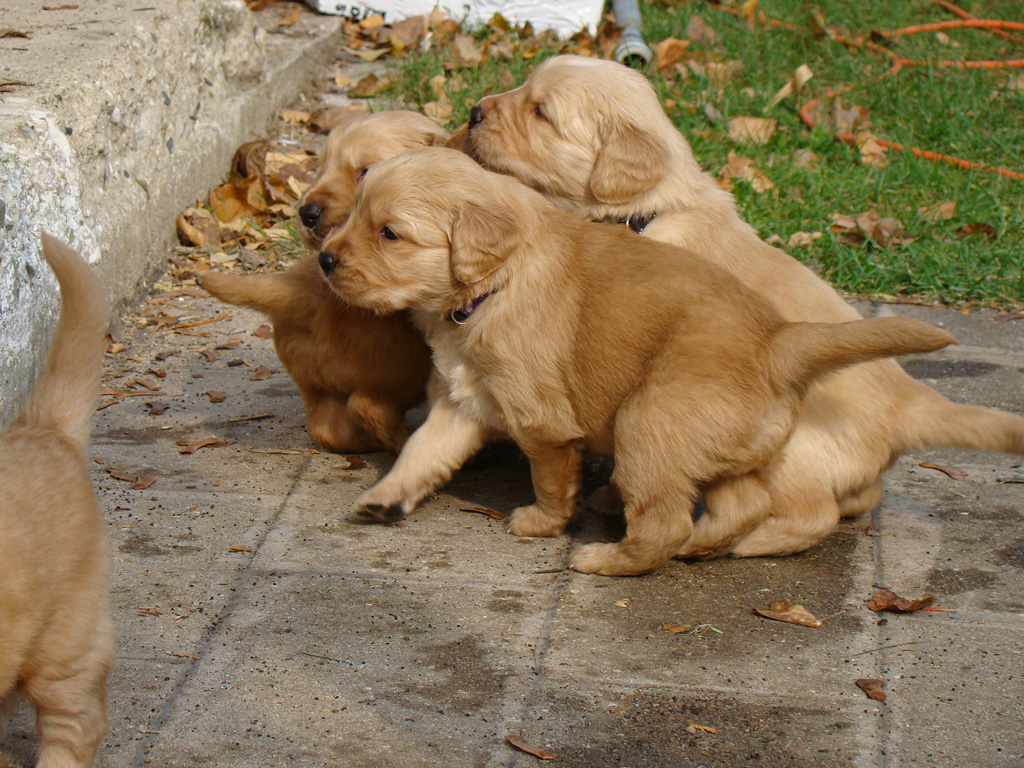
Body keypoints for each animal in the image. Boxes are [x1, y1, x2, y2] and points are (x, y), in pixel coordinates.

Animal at [315, 147, 954, 573]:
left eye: (390, 233)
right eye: (357, 214)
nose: (324, 259)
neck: (492, 288)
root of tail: (778, 339)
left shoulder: (540, 421)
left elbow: (550, 479)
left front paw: (541, 523)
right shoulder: (462, 400)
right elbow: (420, 455)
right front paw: (381, 500)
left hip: (648, 420)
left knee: (667, 520)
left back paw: (603, 559)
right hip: (716, 444)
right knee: (739, 504)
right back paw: (703, 547)